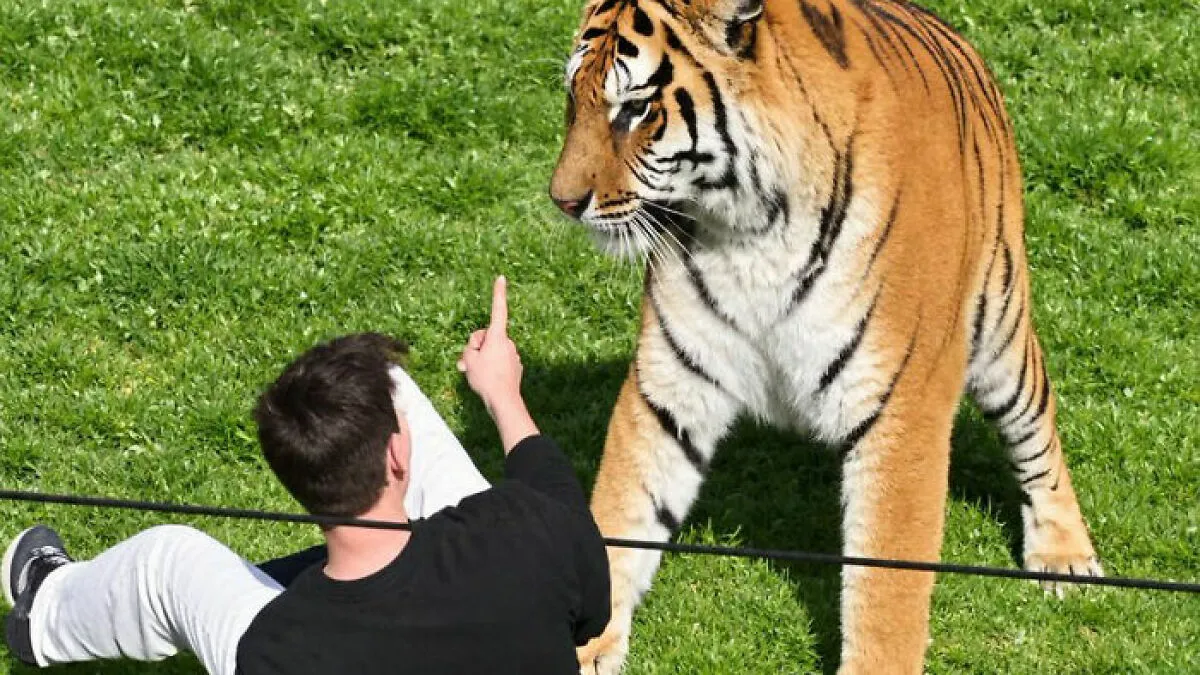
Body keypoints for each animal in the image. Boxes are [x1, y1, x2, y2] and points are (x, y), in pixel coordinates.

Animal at [547, 0, 1102, 672]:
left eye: (635, 109)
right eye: (573, 97)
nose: (562, 201)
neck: (750, 228)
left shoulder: (902, 407)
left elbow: (887, 585)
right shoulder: (672, 383)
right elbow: (622, 509)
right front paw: (584, 646)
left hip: (999, 324)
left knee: (1036, 425)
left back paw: (1063, 555)